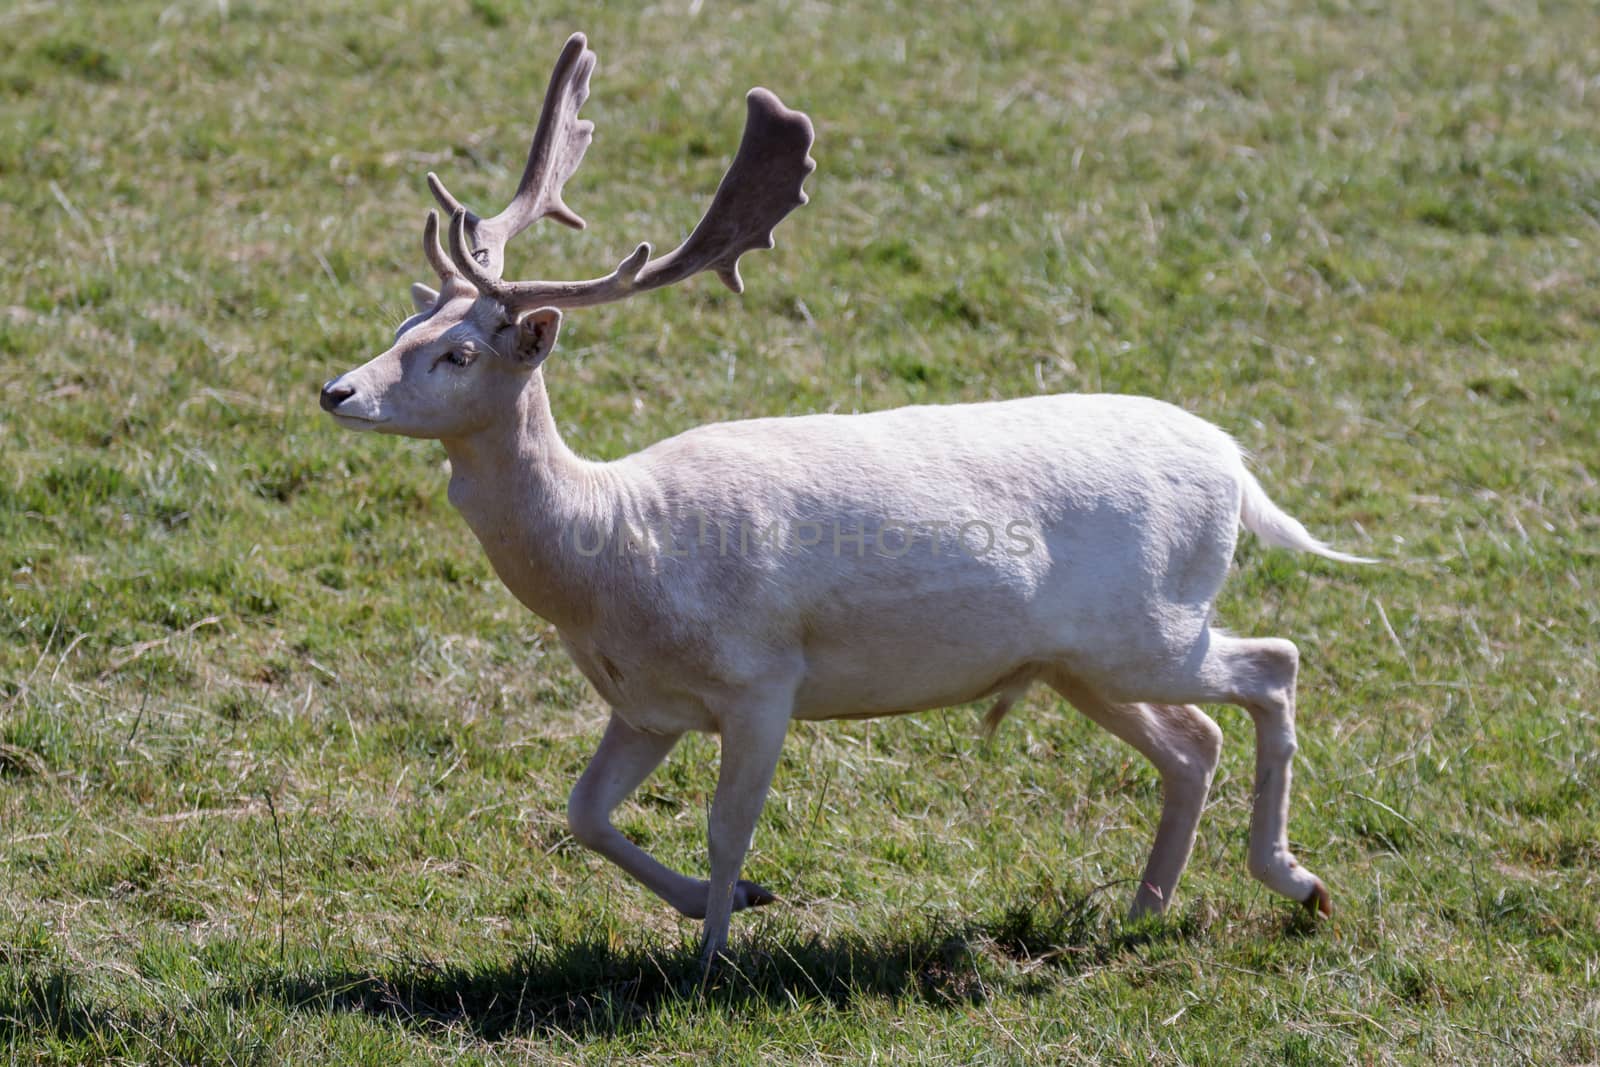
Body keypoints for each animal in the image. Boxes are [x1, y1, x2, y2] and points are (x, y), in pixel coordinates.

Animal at [318, 37, 1369, 966]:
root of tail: (1235, 463)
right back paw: (1145, 910)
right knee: (1192, 741)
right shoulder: (648, 703)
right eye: (405, 321)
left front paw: (712, 961)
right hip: (1082, 658)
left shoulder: (762, 678)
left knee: (1274, 663)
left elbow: (725, 827)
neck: (616, 554)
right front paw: (734, 904)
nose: (336, 390)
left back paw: (1297, 882)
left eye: (459, 352)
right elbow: (584, 813)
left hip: (1150, 625)